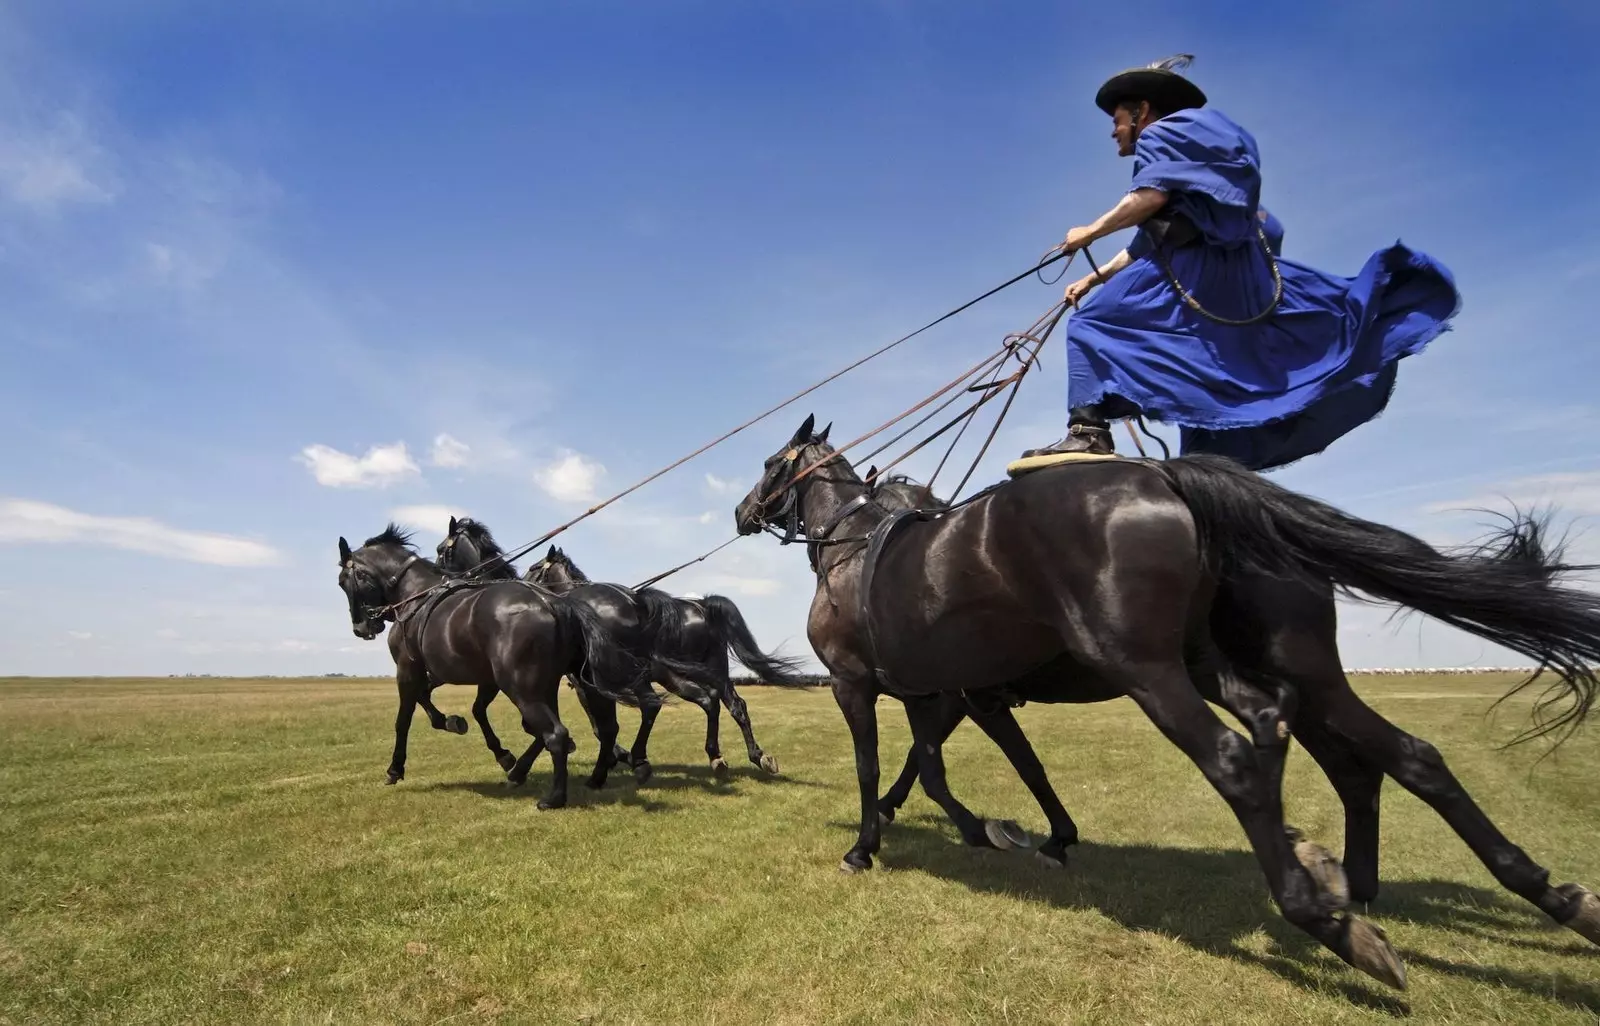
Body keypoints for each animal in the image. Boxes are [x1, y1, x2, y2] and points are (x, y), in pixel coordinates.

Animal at [334, 525, 659, 803]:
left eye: (343, 582)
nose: (362, 628)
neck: (415, 596)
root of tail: (554, 603)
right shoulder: (480, 678)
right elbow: (472, 710)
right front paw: (482, 741)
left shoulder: (408, 669)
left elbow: (405, 718)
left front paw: (396, 768)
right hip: (556, 682)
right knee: (603, 724)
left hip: (524, 685)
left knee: (564, 730)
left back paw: (558, 793)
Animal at [732, 416, 1600, 992]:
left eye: (771, 462)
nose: (742, 511)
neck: (855, 550)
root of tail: (1168, 480)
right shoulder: (940, 694)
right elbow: (946, 766)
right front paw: (1011, 832)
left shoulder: (873, 687)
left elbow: (886, 765)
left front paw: (876, 843)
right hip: (1269, 671)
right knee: (1376, 753)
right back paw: (1527, 892)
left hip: (1154, 668)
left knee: (1246, 758)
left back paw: (1329, 915)